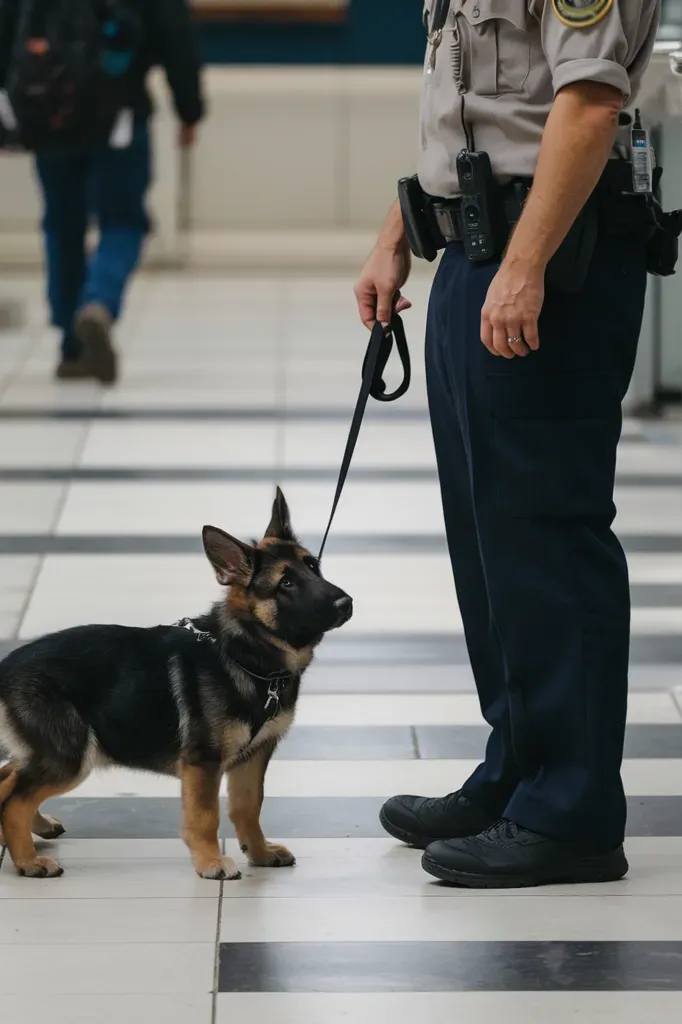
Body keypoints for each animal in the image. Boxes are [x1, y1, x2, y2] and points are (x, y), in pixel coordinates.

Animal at [0, 487, 350, 880]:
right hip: (72, 755)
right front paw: (211, 862)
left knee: (8, 777)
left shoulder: (254, 757)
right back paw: (28, 861)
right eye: (285, 583)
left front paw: (259, 852)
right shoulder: (203, 764)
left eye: (313, 567)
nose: (347, 603)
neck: (244, 654)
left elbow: (248, 807)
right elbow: (206, 816)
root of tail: (7, 664)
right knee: (14, 800)